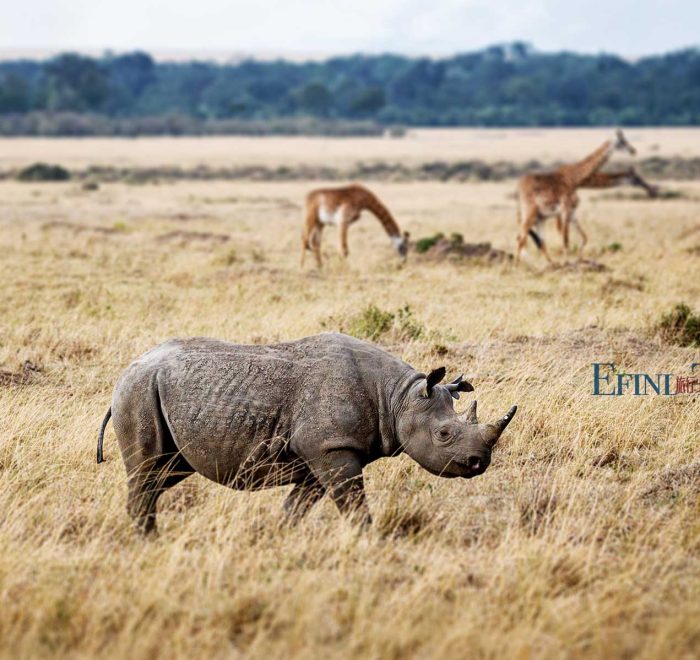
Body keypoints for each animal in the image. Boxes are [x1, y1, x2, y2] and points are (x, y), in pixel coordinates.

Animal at [516, 127, 636, 264]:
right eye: (622, 141)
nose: (633, 151)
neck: (574, 178)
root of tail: (519, 185)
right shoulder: (565, 210)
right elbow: (565, 238)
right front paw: (566, 262)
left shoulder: (572, 212)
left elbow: (583, 237)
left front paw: (578, 259)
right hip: (529, 212)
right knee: (521, 238)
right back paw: (516, 264)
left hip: (539, 218)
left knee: (538, 241)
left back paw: (550, 263)